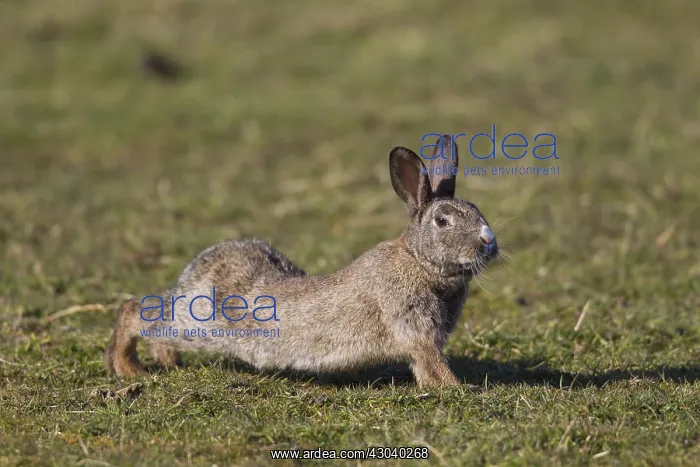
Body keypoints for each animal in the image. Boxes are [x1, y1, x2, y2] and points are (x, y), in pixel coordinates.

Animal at [104, 134, 499, 387]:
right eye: (443, 221)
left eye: (477, 209)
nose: (488, 242)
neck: (418, 260)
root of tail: (197, 268)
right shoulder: (414, 326)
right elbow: (432, 361)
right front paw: (460, 388)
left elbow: (423, 366)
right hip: (198, 325)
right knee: (135, 311)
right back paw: (129, 369)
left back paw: (167, 362)